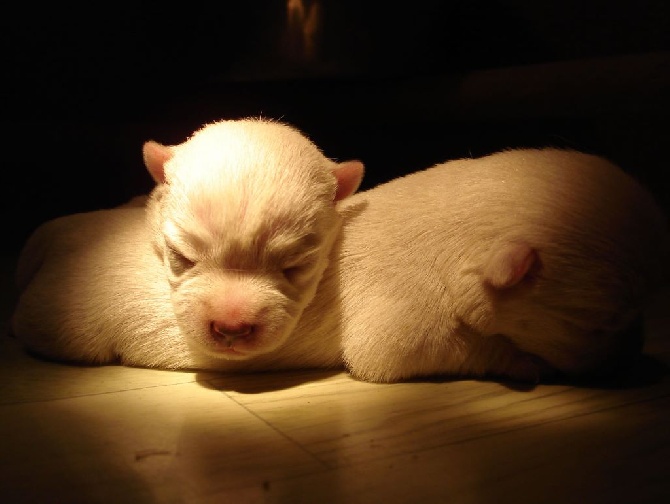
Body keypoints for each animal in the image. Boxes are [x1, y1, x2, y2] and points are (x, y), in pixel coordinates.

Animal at [11, 118, 670, 384]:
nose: (632, 356)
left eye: (296, 265)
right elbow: (422, 355)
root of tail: (54, 235)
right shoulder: (402, 332)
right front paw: (526, 365)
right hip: (61, 326)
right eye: (604, 321)